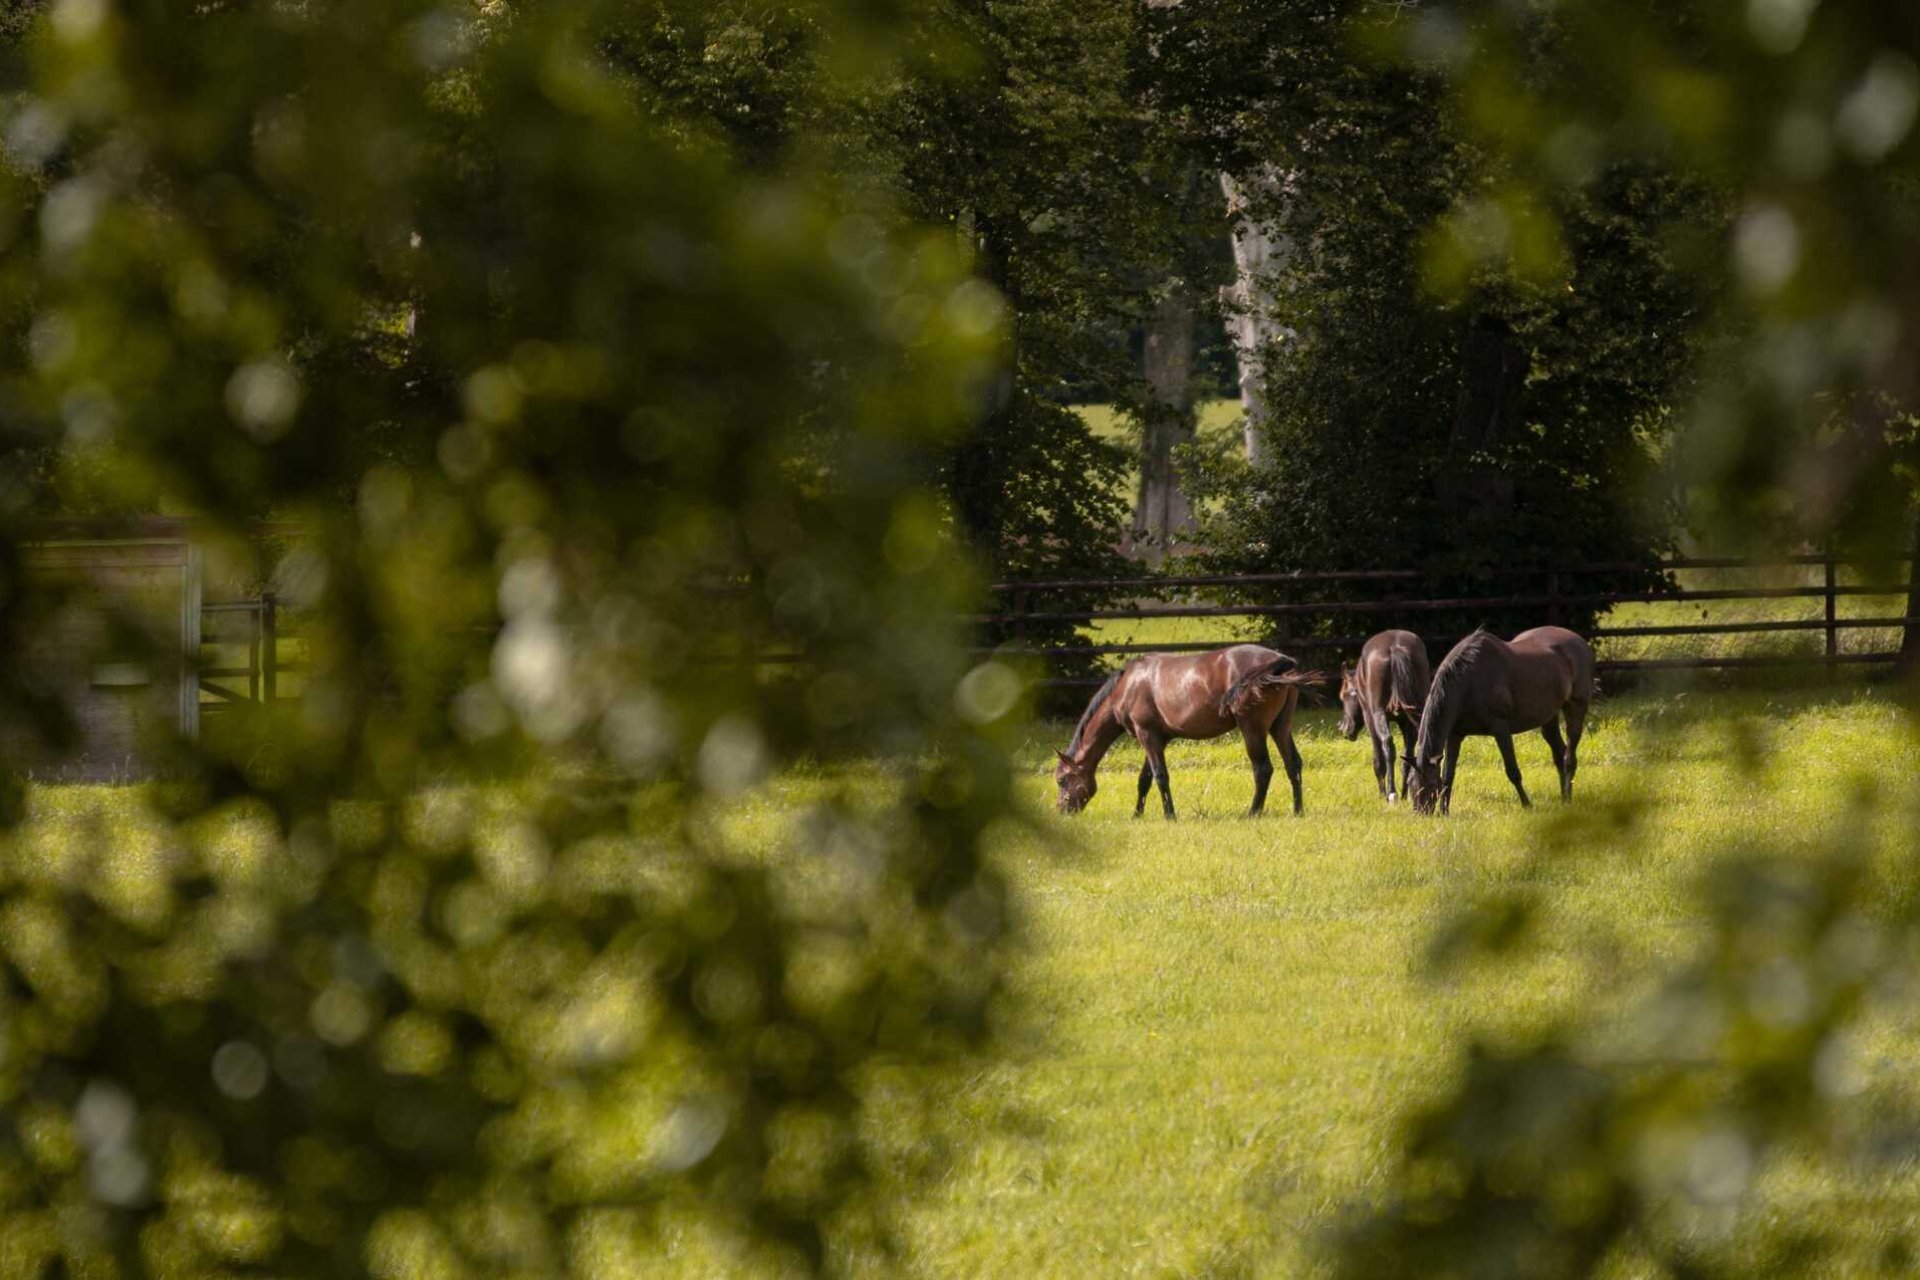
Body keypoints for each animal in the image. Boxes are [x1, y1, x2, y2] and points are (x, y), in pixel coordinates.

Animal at [1059, 652, 1328, 821]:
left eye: (1061, 780)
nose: (1061, 811)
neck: (1127, 686)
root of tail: (1280, 661)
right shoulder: (1157, 739)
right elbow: (1144, 780)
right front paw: (1137, 815)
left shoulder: (1147, 736)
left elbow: (1160, 777)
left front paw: (1170, 816)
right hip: (1280, 727)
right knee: (1293, 764)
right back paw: (1298, 810)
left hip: (1253, 729)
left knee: (1263, 769)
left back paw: (1253, 813)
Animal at [1344, 629, 1436, 802]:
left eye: (1344, 696)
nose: (1344, 729)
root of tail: (1395, 648)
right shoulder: (1405, 721)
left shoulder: (1370, 719)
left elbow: (1378, 758)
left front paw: (1383, 793)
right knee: (1411, 751)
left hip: (1378, 714)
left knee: (1388, 746)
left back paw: (1392, 793)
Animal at [1405, 625, 1597, 817]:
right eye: (1409, 784)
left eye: (1430, 785)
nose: (1421, 814)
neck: (1468, 681)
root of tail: (1581, 643)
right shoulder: (1455, 734)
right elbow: (1448, 775)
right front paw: (1445, 812)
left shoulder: (1500, 728)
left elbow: (1512, 771)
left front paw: (1527, 804)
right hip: (1548, 717)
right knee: (1559, 754)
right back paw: (1564, 798)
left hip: (1575, 709)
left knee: (1569, 757)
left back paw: (1568, 800)